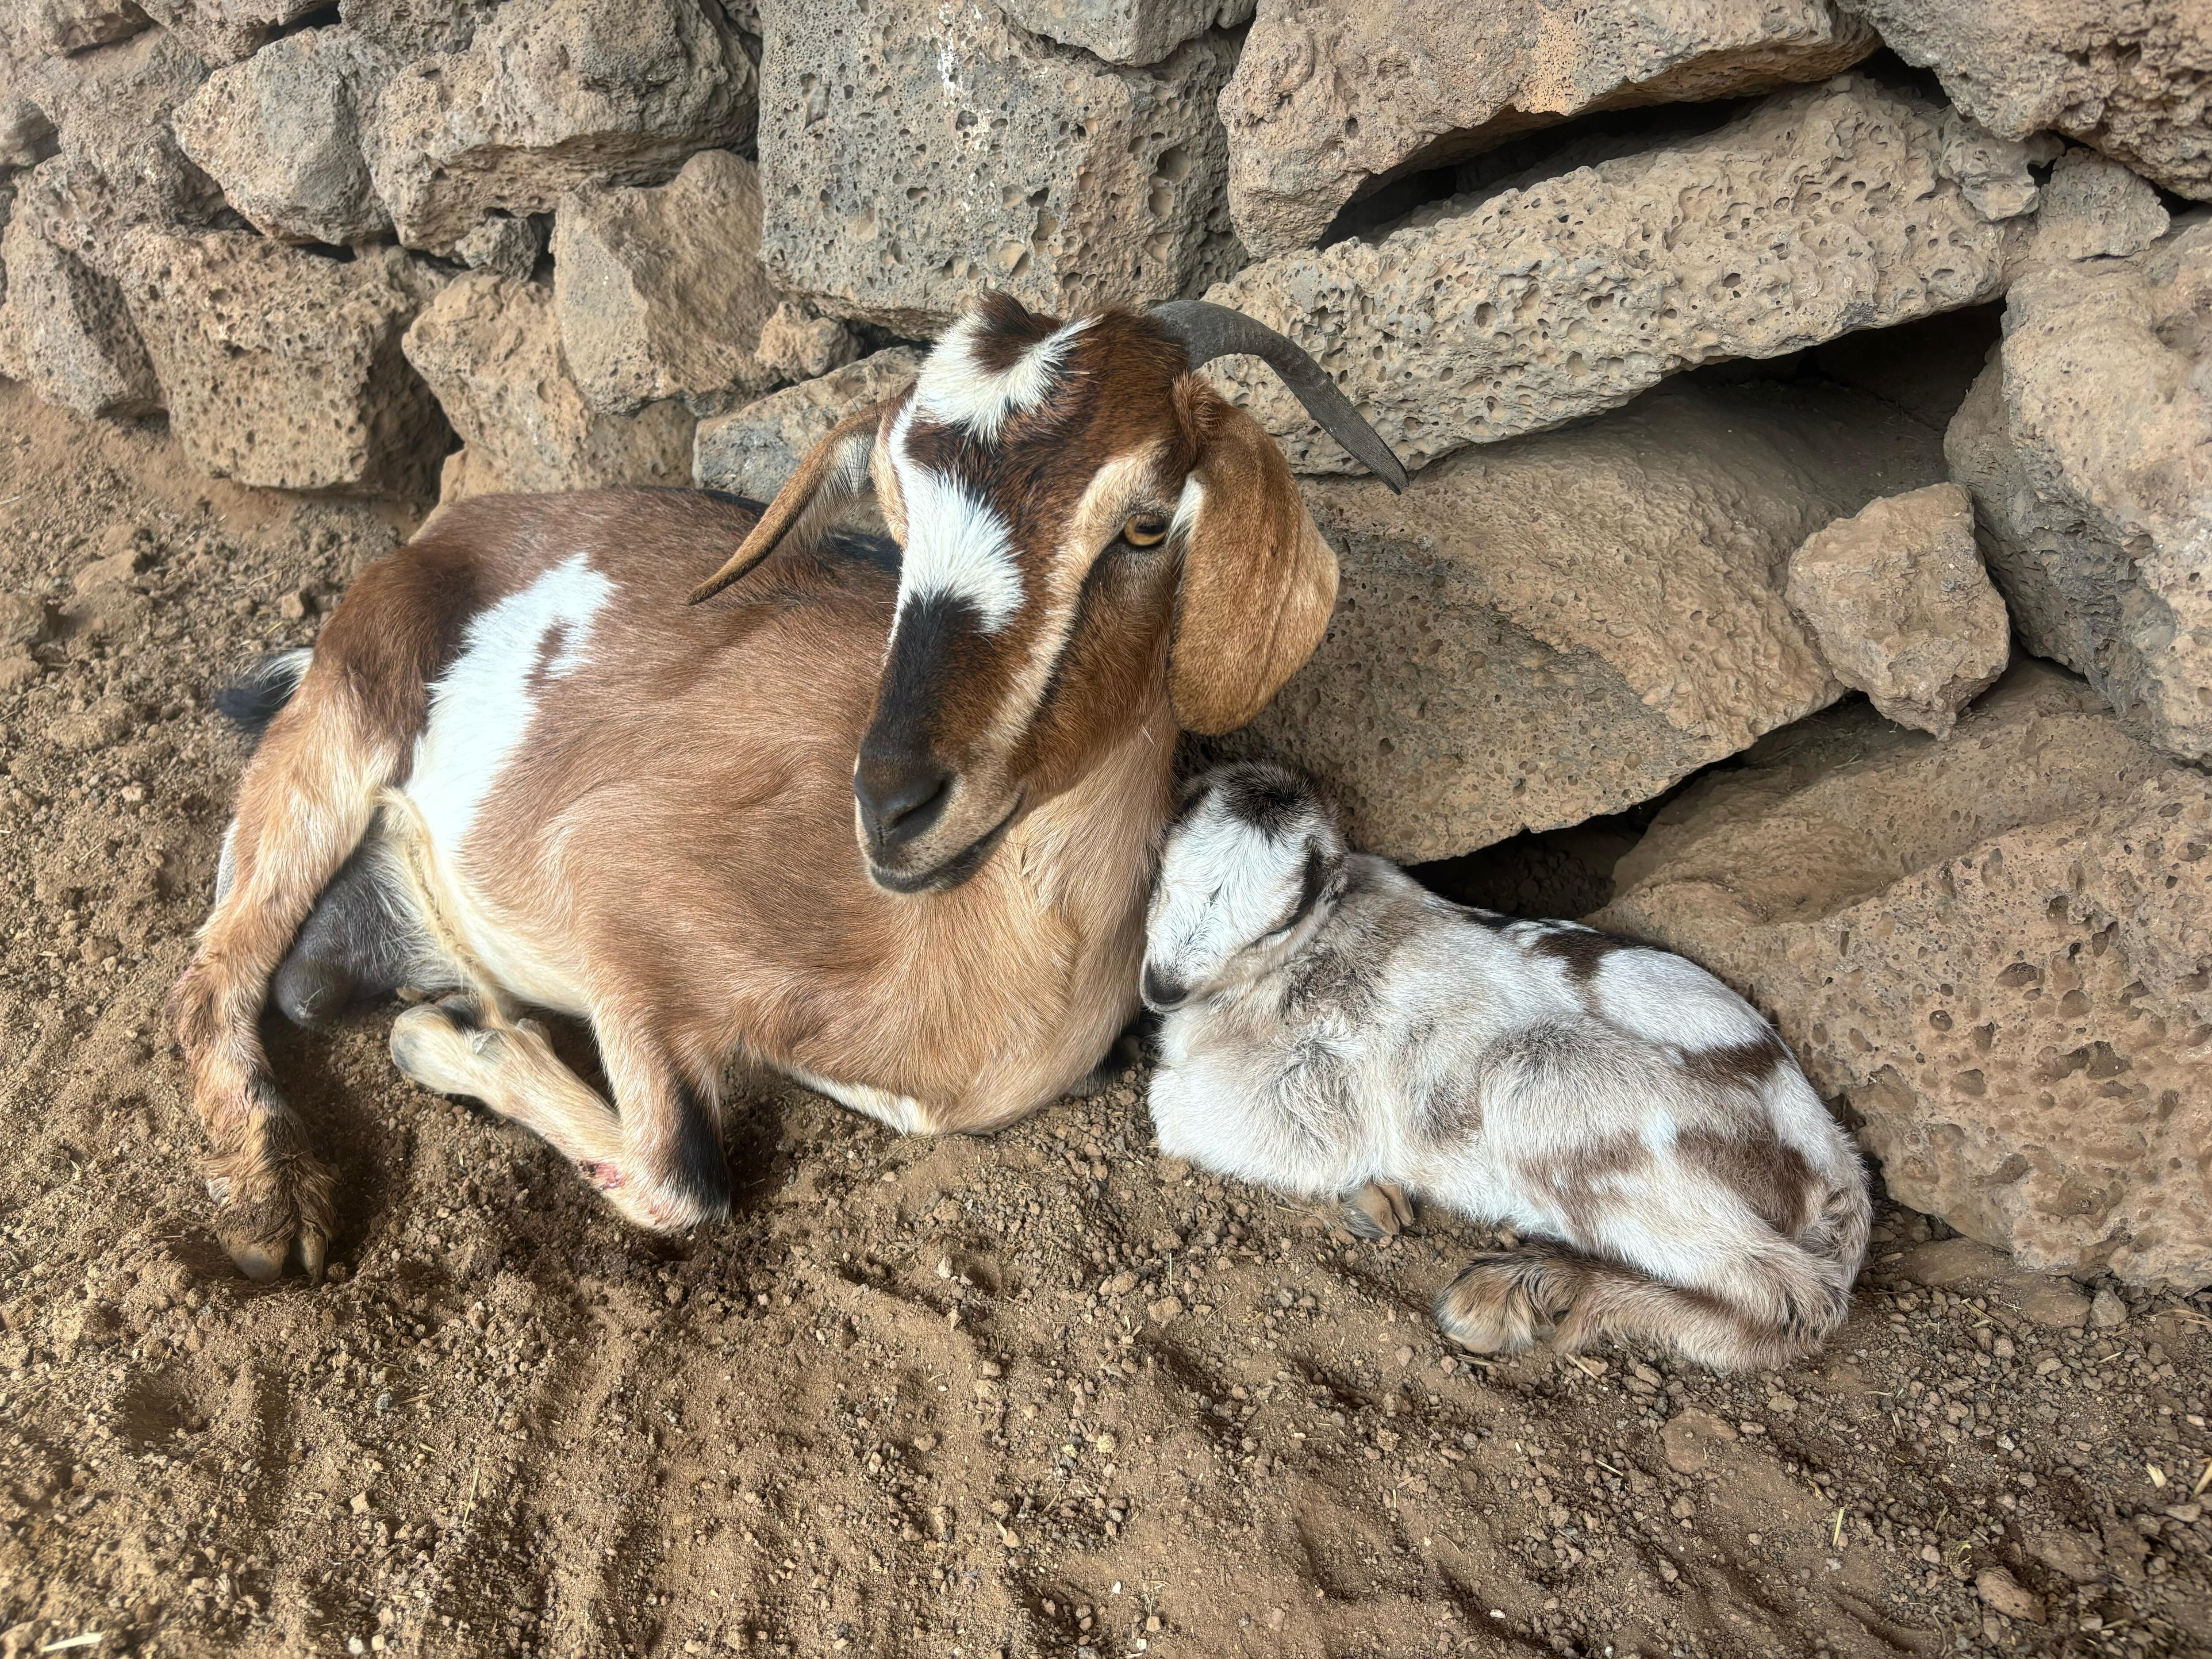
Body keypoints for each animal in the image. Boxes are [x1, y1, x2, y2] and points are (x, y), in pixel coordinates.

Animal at [169, 296, 1407, 1280]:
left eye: (1148, 523)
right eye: (895, 521)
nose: (893, 806)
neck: (971, 956)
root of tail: (449, 526)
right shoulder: (611, 889)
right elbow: (683, 1179)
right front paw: (445, 1039)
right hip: (340, 727)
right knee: (212, 975)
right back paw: (271, 1215)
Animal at [1141, 763, 1871, 1371]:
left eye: (1276, 922)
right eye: (1161, 864)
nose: (1161, 986)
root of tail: (1838, 1166)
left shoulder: (1317, 1095)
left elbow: (1174, 1104)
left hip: (1547, 1081)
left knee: (1793, 1300)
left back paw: (1522, 1289)